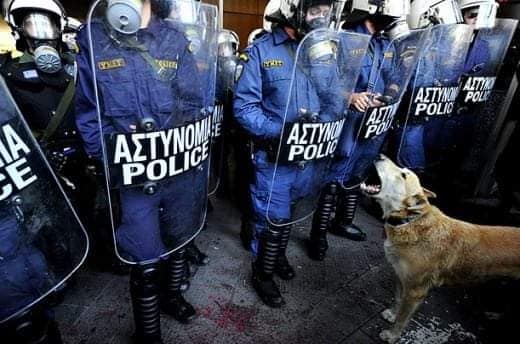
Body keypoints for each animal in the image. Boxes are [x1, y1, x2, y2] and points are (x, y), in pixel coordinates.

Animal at [360, 155, 520, 342]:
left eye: (404, 175)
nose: (380, 156)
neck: (410, 221)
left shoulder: (416, 291)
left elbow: (403, 318)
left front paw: (392, 335)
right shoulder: (400, 275)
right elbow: (398, 299)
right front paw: (392, 314)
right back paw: (495, 315)